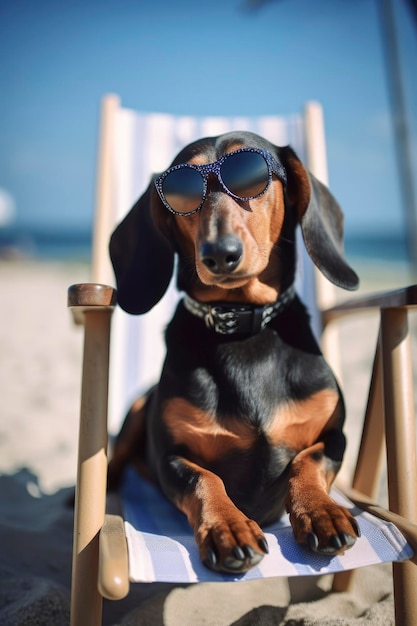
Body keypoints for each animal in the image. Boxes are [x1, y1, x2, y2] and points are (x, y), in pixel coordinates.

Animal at [109, 130, 360, 572]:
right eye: (182, 193)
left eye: (252, 176)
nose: (219, 254)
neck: (240, 326)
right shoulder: (170, 457)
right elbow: (205, 479)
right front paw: (228, 527)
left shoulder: (336, 435)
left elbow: (307, 460)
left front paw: (322, 510)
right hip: (137, 412)